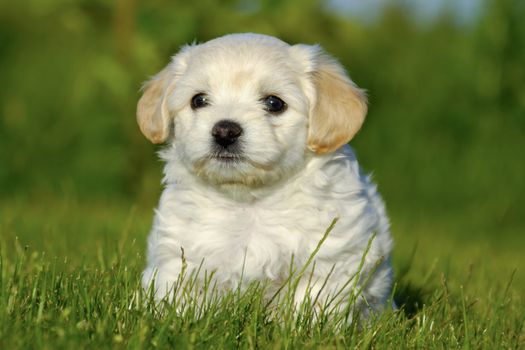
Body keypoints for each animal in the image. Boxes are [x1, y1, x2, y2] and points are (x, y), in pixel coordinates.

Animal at [137, 33, 390, 318]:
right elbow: (176, 301)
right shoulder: (178, 256)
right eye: (198, 100)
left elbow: (310, 304)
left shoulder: (329, 259)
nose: (225, 131)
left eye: (274, 103)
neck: (249, 201)